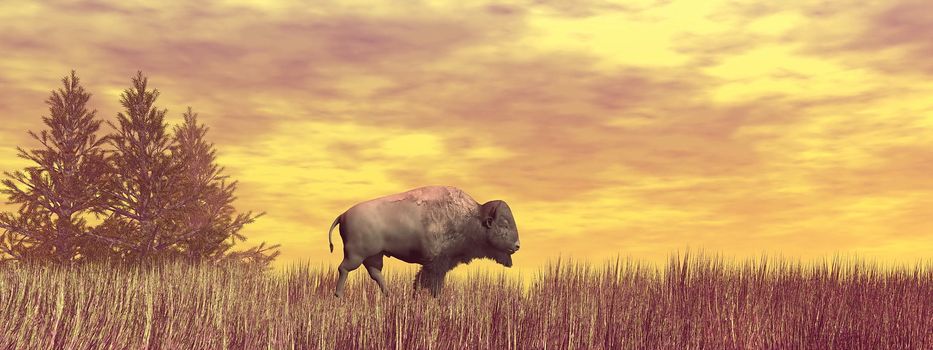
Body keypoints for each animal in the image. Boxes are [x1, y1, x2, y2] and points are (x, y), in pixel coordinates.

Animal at [326, 185, 516, 296]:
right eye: (504, 224)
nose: (517, 246)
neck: (472, 218)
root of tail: (342, 215)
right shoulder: (437, 262)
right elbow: (431, 282)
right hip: (356, 255)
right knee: (344, 269)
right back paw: (339, 295)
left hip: (374, 255)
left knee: (375, 273)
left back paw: (389, 295)